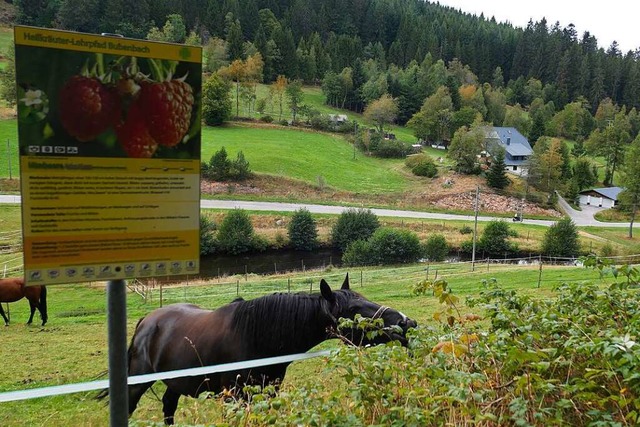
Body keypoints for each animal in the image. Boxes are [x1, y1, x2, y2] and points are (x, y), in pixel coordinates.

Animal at [99, 274, 418, 424]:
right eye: (354, 309)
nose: (406, 322)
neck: (258, 337)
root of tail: (147, 320)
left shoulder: (268, 392)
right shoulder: (234, 397)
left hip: (176, 383)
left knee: (168, 407)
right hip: (136, 385)